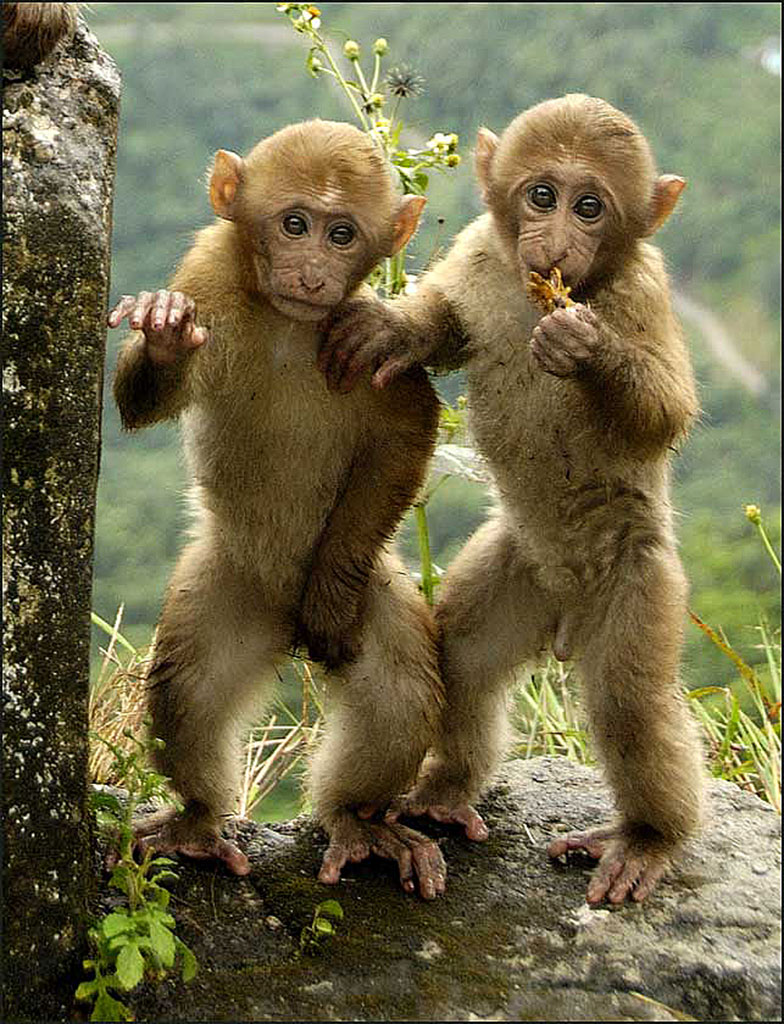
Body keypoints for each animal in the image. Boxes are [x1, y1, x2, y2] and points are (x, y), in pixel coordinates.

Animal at [108, 119, 448, 901]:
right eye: (295, 224)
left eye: (341, 233)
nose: (312, 272)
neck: (290, 324)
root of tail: (280, 624)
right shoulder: (208, 275)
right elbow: (147, 403)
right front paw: (164, 332)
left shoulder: (371, 331)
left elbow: (404, 434)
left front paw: (328, 598)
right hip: (229, 584)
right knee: (192, 687)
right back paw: (198, 824)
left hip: (374, 590)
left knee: (399, 695)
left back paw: (356, 820)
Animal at [323, 96, 708, 905]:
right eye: (542, 194)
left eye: (590, 206)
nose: (556, 240)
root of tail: (564, 612)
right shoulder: (482, 252)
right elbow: (446, 325)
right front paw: (394, 327)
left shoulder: (643, 291)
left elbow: (664, 412)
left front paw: (587, 349)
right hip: (518, 570)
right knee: (465, 658)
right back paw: (445, 790)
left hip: (637, 580)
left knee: (631, 704)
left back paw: (647, 837)